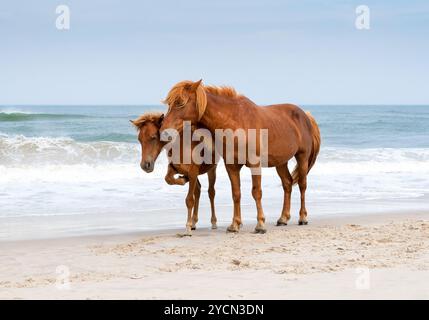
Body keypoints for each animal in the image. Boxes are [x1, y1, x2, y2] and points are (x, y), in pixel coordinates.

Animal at [159, 79, 320, 235]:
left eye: (180, 103)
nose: (164, 132)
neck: (235, 122)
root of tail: (305, 115)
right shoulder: (232, 166)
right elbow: (236, 193)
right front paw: (234, 225)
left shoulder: (255, 164)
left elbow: (256, 192)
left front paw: (260, 225)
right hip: (281, 162)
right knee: (287, 184)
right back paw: (283, 218)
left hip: (302, 157)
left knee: (302, 185)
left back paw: (302, 217)